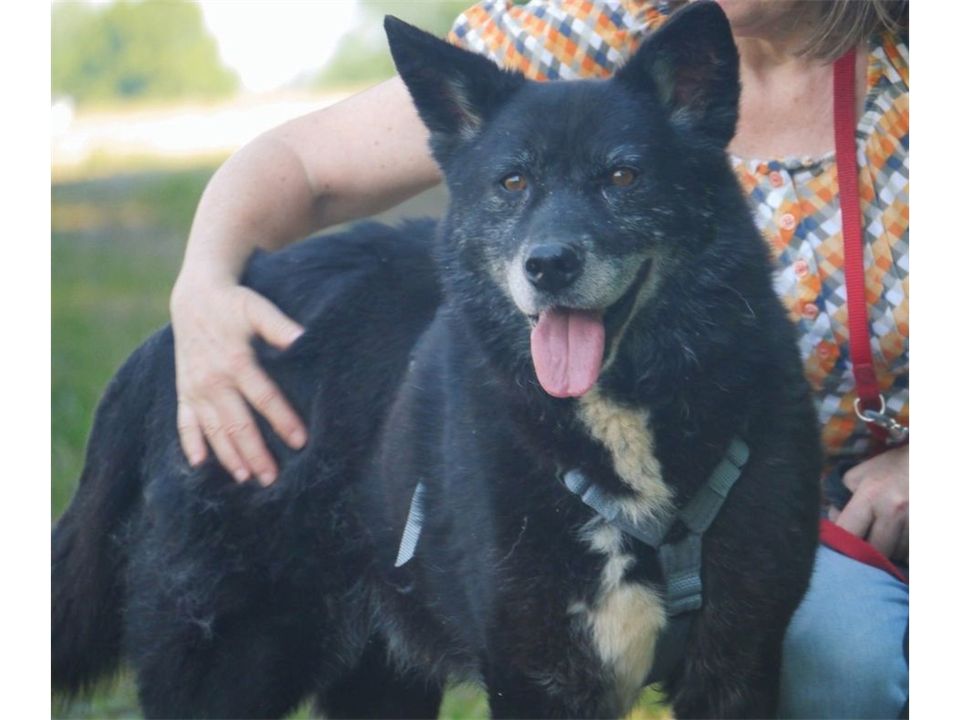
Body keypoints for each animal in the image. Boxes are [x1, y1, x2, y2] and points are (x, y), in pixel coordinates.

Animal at [52, 4, 816, 716]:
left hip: (377, 674)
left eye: (624, 176)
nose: (549, 266)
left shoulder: (738, 669)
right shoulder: (534, 677)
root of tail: (176, 335)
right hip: (229, 658)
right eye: (513, 183)